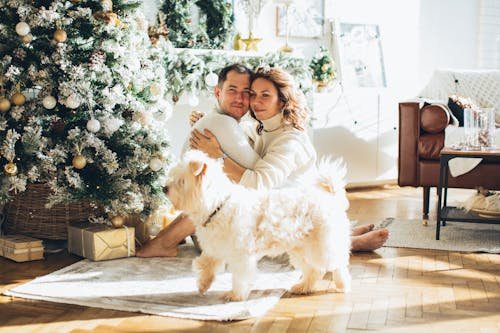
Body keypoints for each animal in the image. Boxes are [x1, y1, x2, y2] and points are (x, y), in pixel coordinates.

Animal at [164, 150, 352, 300]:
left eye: (181, 181)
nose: (164, 188)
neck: (217, 206)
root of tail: (329, 197)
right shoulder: (214, 247)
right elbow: (206, 265)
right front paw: (204, 284)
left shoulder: (240, 255)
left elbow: (240, 276)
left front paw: (235, 295)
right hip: (299, 248)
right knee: (314, 270)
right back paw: (302, 287)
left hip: (323, 245)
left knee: (337, 263)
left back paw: (342, 284)